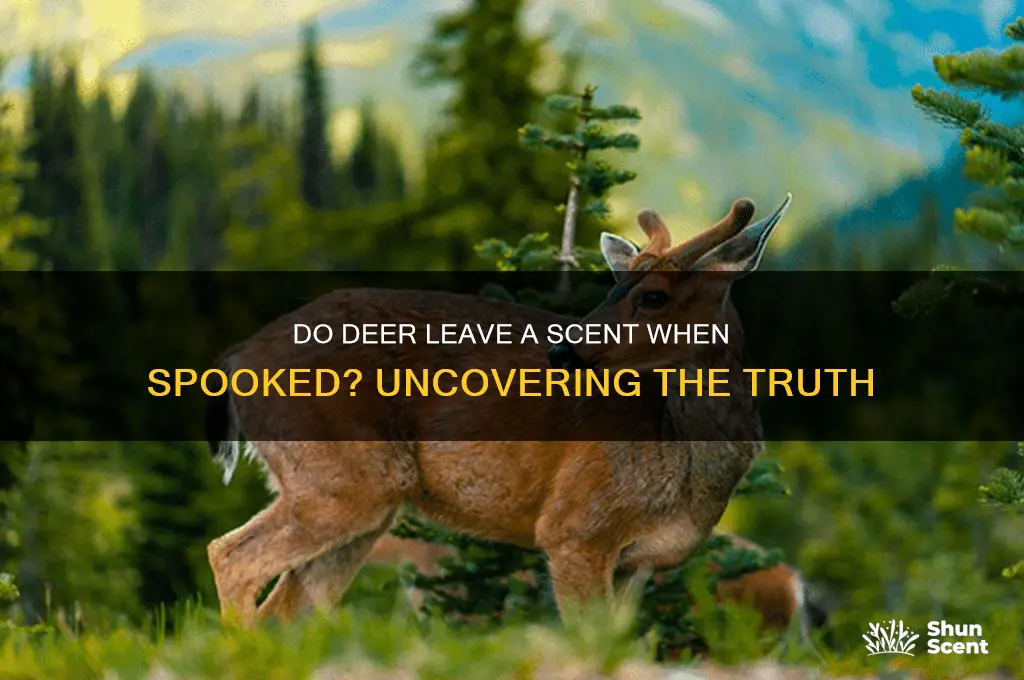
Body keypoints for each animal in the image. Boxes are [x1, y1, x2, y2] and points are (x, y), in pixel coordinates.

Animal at [204, 193, 793, 629]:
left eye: (652, 296)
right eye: (614, 284)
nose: (564, 349)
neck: (677, 445)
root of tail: (237, 358)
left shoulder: (637, 563)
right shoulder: (574, 529)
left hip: (364, 501)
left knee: (288, 606)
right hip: (341, 475)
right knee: (230, 556)